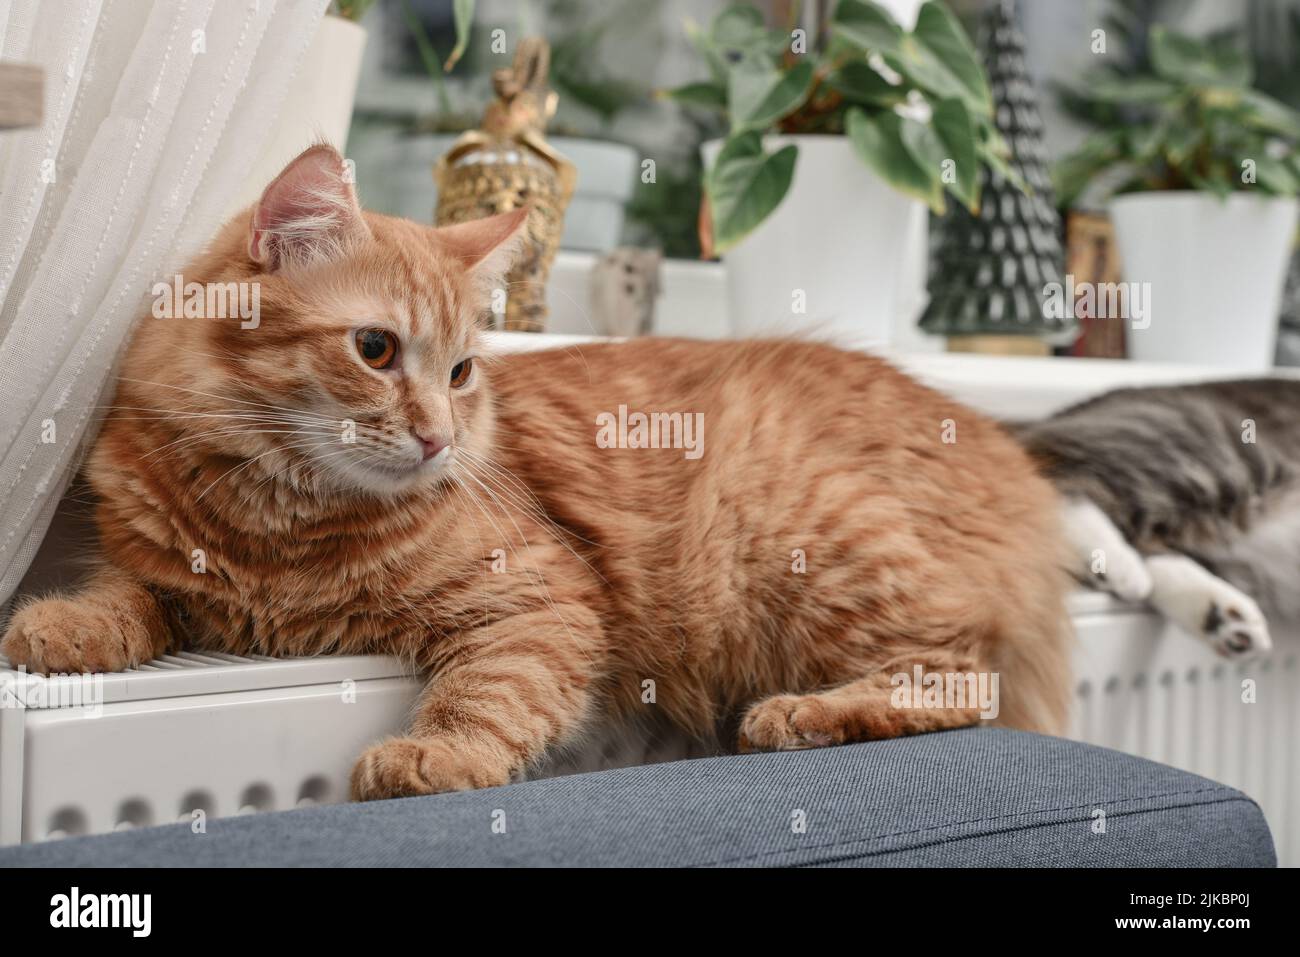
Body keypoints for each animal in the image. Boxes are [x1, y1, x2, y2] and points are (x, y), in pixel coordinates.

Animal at [0, 143, 1071, 800]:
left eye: (462, 372)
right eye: (377, 350)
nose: (438, 438)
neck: (276, 520)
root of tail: (995, 444)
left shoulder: (543, 600)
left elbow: (488, 695)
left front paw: (433, 755)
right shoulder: (158, 570)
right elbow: (119, 597)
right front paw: (56, 629)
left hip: (795, 537)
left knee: (962, 678)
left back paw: (800, 715)